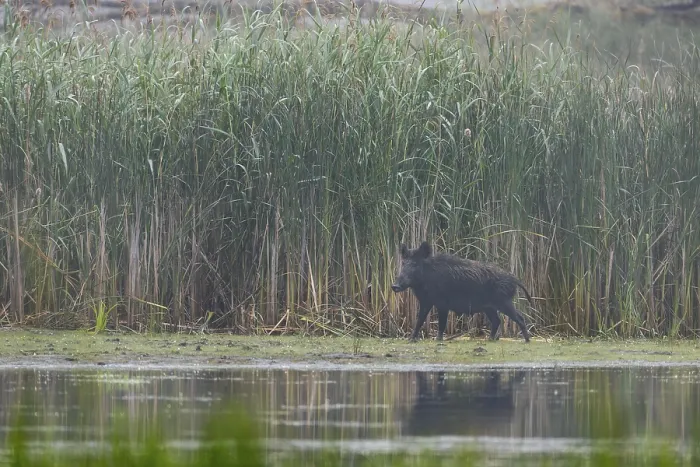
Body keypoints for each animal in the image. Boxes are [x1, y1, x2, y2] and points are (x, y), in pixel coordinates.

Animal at [391, 241, 532, 342]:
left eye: (415, 264)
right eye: (403, 263)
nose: (394, 286)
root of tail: (514, 279)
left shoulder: (443, 303)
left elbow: (442, 322)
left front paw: (438, 340)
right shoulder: (426, 302)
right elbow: (419, 320)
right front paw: (411, 340)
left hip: (504, 302)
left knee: (519, 317)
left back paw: (527, 340)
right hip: (489, 307)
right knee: (497, 321)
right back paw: (490, 340)